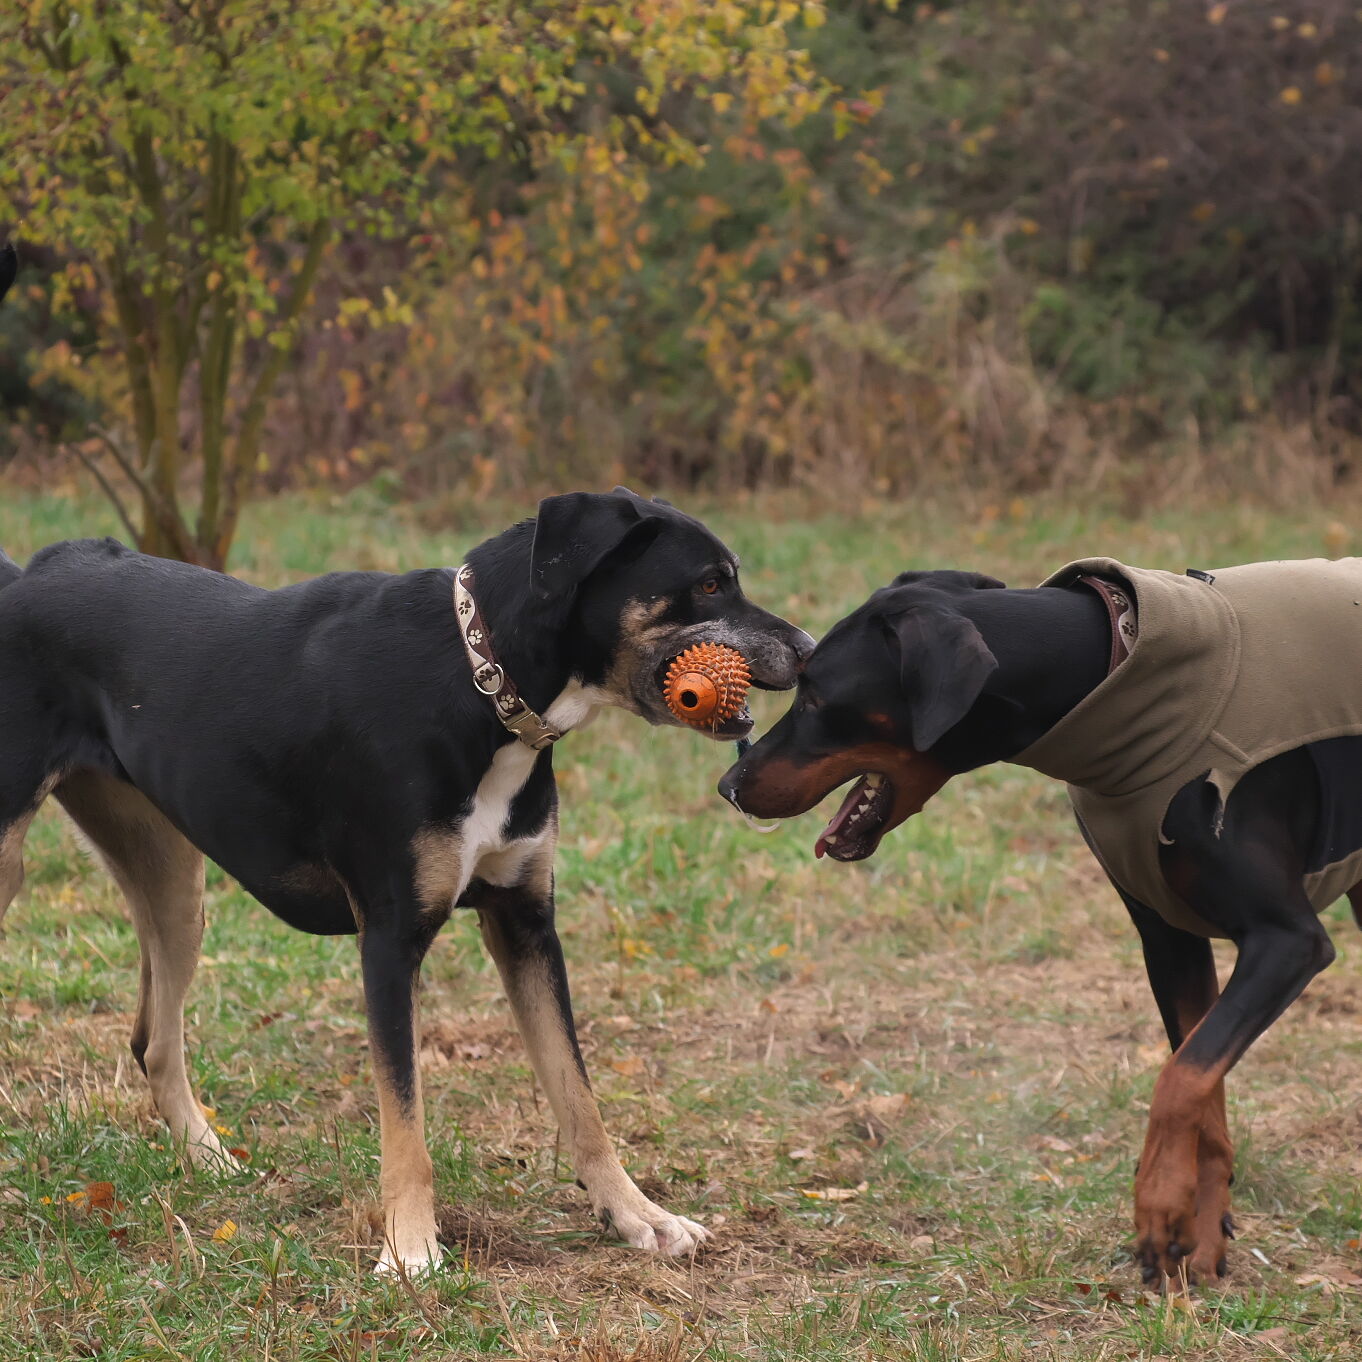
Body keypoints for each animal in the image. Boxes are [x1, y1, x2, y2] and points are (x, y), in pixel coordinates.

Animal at [0, 488, 813, 1273]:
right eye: (708, 583)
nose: (808, 652)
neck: (482, 681)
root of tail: (24, 575)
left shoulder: (526, 922)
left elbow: (579, 1097)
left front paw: (637, 1216)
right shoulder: (390, 940)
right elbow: (406, 1121)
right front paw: (411, 1248)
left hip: (174, 880)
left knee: (155, 1041)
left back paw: (211, 1161)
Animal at [720, 556, 1362, 1289]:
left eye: (817, 699)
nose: (729, 786)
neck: (1112, 669)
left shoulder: (1287, 942)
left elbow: (1181, 1078)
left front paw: (1156, 1205)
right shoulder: (1170, 938)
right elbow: (1203, 1084)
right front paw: (1198, 1237)